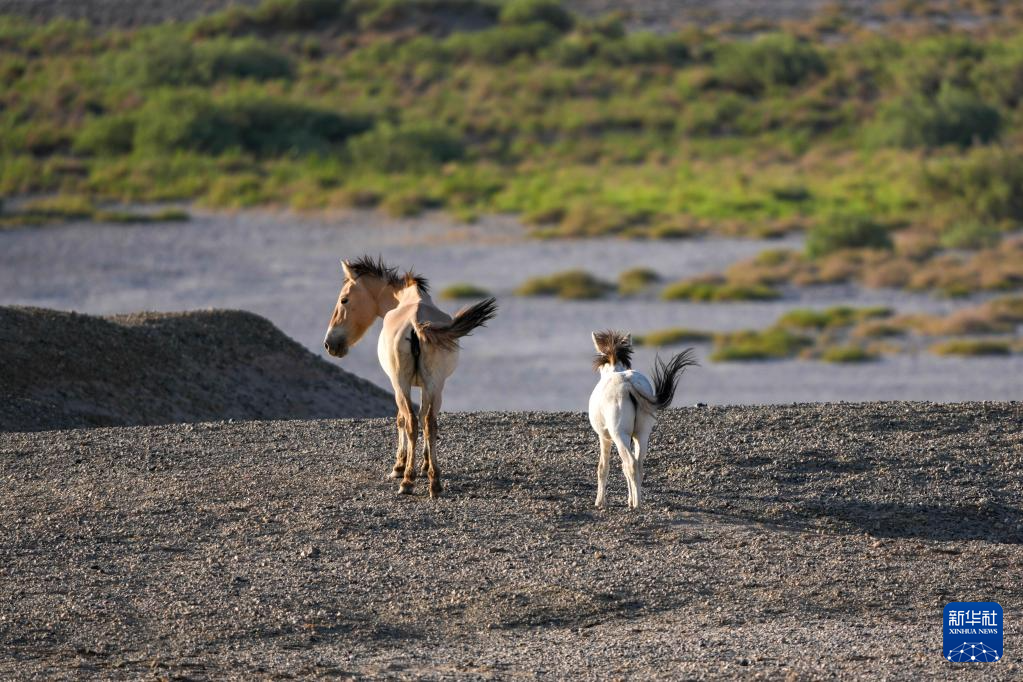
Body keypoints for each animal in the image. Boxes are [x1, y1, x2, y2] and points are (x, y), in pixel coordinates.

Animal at [323, 256, 497, 498]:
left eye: (344, 300)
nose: (330, 344)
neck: (406, 298)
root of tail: (416, 324)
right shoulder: (426, 387)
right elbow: (424, 417)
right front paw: (425, 466)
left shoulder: (397, 385)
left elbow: (401, 419)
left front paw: (399, 466)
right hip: (436, 386)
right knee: (429, 423)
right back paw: (435, 482)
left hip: (402, 384)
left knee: (412, 422)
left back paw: (407, 480)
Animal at [588, 330, 696, 509]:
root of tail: (628, 384)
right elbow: (623, 468)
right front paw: (628, 498)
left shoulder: (604, 437)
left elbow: (603, 467)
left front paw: (599, 502)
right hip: (642, 434)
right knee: (638, 464)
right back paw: (636, 500)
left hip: (620, 435)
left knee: (631, 464)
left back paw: (637, 505)